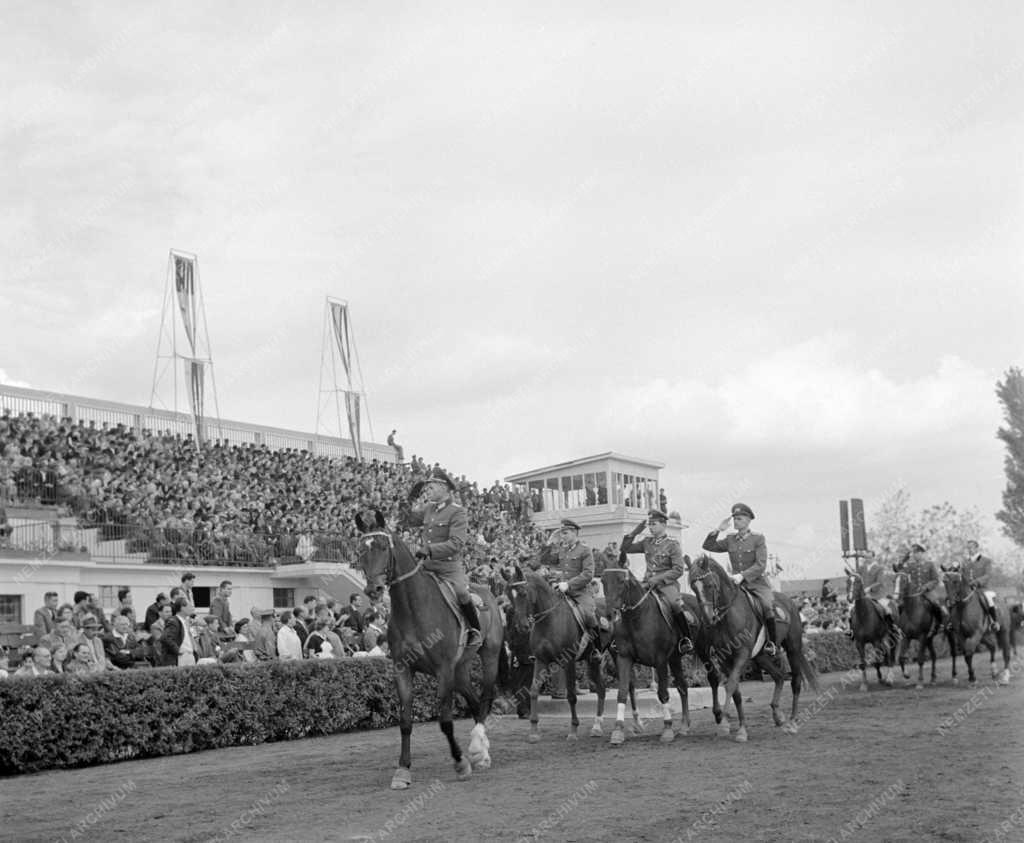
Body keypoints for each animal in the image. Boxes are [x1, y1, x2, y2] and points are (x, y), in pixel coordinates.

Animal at [356, 510, 507, 794]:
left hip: (488, 658)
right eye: (361, 549)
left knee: (484, 698)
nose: (374, 590)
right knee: (474, 702)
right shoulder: (403, 670)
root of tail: (487, 591)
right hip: (461, 670)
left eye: (382, 546)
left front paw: (460, 763)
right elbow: (405, 722)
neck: (413, 608)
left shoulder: (443, 670)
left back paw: (477, 748)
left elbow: (445, 721)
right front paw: (402, 771)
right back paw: (480, 749)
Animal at [505, 565, 602, 741]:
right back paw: (597, 727)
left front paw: (573, 730)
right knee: (602, 689)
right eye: (509, 595)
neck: (549, 620)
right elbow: (534, 691)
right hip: (593, 662)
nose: (520, 627)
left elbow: (571, 696)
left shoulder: (568, 662)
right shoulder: (540, 660)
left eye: (523, 593)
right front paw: (534, 731)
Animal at [598, 565, 724, 745]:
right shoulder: (624, 658)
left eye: (621, 581)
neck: (637, 618)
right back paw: (684, 726)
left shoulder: (660, 660)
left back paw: (718, 715)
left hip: (702, 650)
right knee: (683, 686)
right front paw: (618, 731)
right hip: (675, 658)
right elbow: (622, 693)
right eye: (602, 581)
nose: (610, 615)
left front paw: (667, 729)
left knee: (713, 677)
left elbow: (663, 694)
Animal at [688, 557, 815, 741]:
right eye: (693, 587)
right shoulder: (725, 659)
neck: (729, 616)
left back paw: (792, 721)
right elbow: (735, 691)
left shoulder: (741, 655)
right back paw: (778, 715)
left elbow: (730, 685)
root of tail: (790, 601)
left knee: (795, 681)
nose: (707, 618)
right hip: (760, 656)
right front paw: (740, 728)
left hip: (793, 649)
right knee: (779, 676)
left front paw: (726, 723)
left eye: (710, 585)